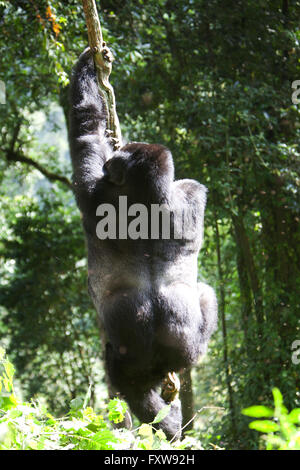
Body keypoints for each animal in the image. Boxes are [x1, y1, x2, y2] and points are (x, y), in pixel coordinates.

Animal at [69, 47, 217, 440]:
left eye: (112, 169)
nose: (110, 169)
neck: (148, 196)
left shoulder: (93, 193)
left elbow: (84, 131)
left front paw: (88, 65)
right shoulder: (189, 192)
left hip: (149, 351)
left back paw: (164, 420)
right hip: (176, 354)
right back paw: (170, 421)